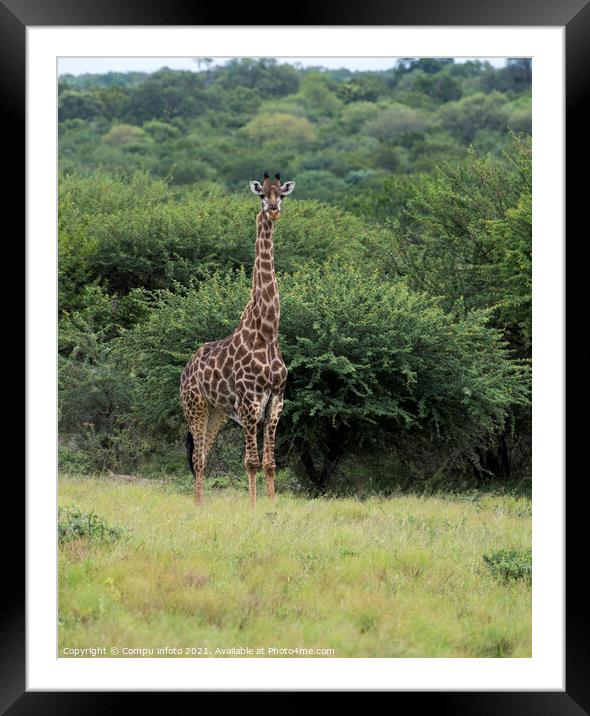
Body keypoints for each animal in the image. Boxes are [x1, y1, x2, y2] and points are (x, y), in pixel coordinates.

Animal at [180, 171, 296, 506]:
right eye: (262, 195)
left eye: (281, 194)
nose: (273, 210)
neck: (267, 332)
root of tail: (186, 368)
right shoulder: (248, 402)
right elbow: (251, 462)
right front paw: (254, 508)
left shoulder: (276, 402)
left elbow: (270, 463)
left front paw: (272, 506)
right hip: (195, 406)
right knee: (198, 459)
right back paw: (198, 506)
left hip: (217, 412)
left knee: (203, 455)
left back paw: (202, 504)